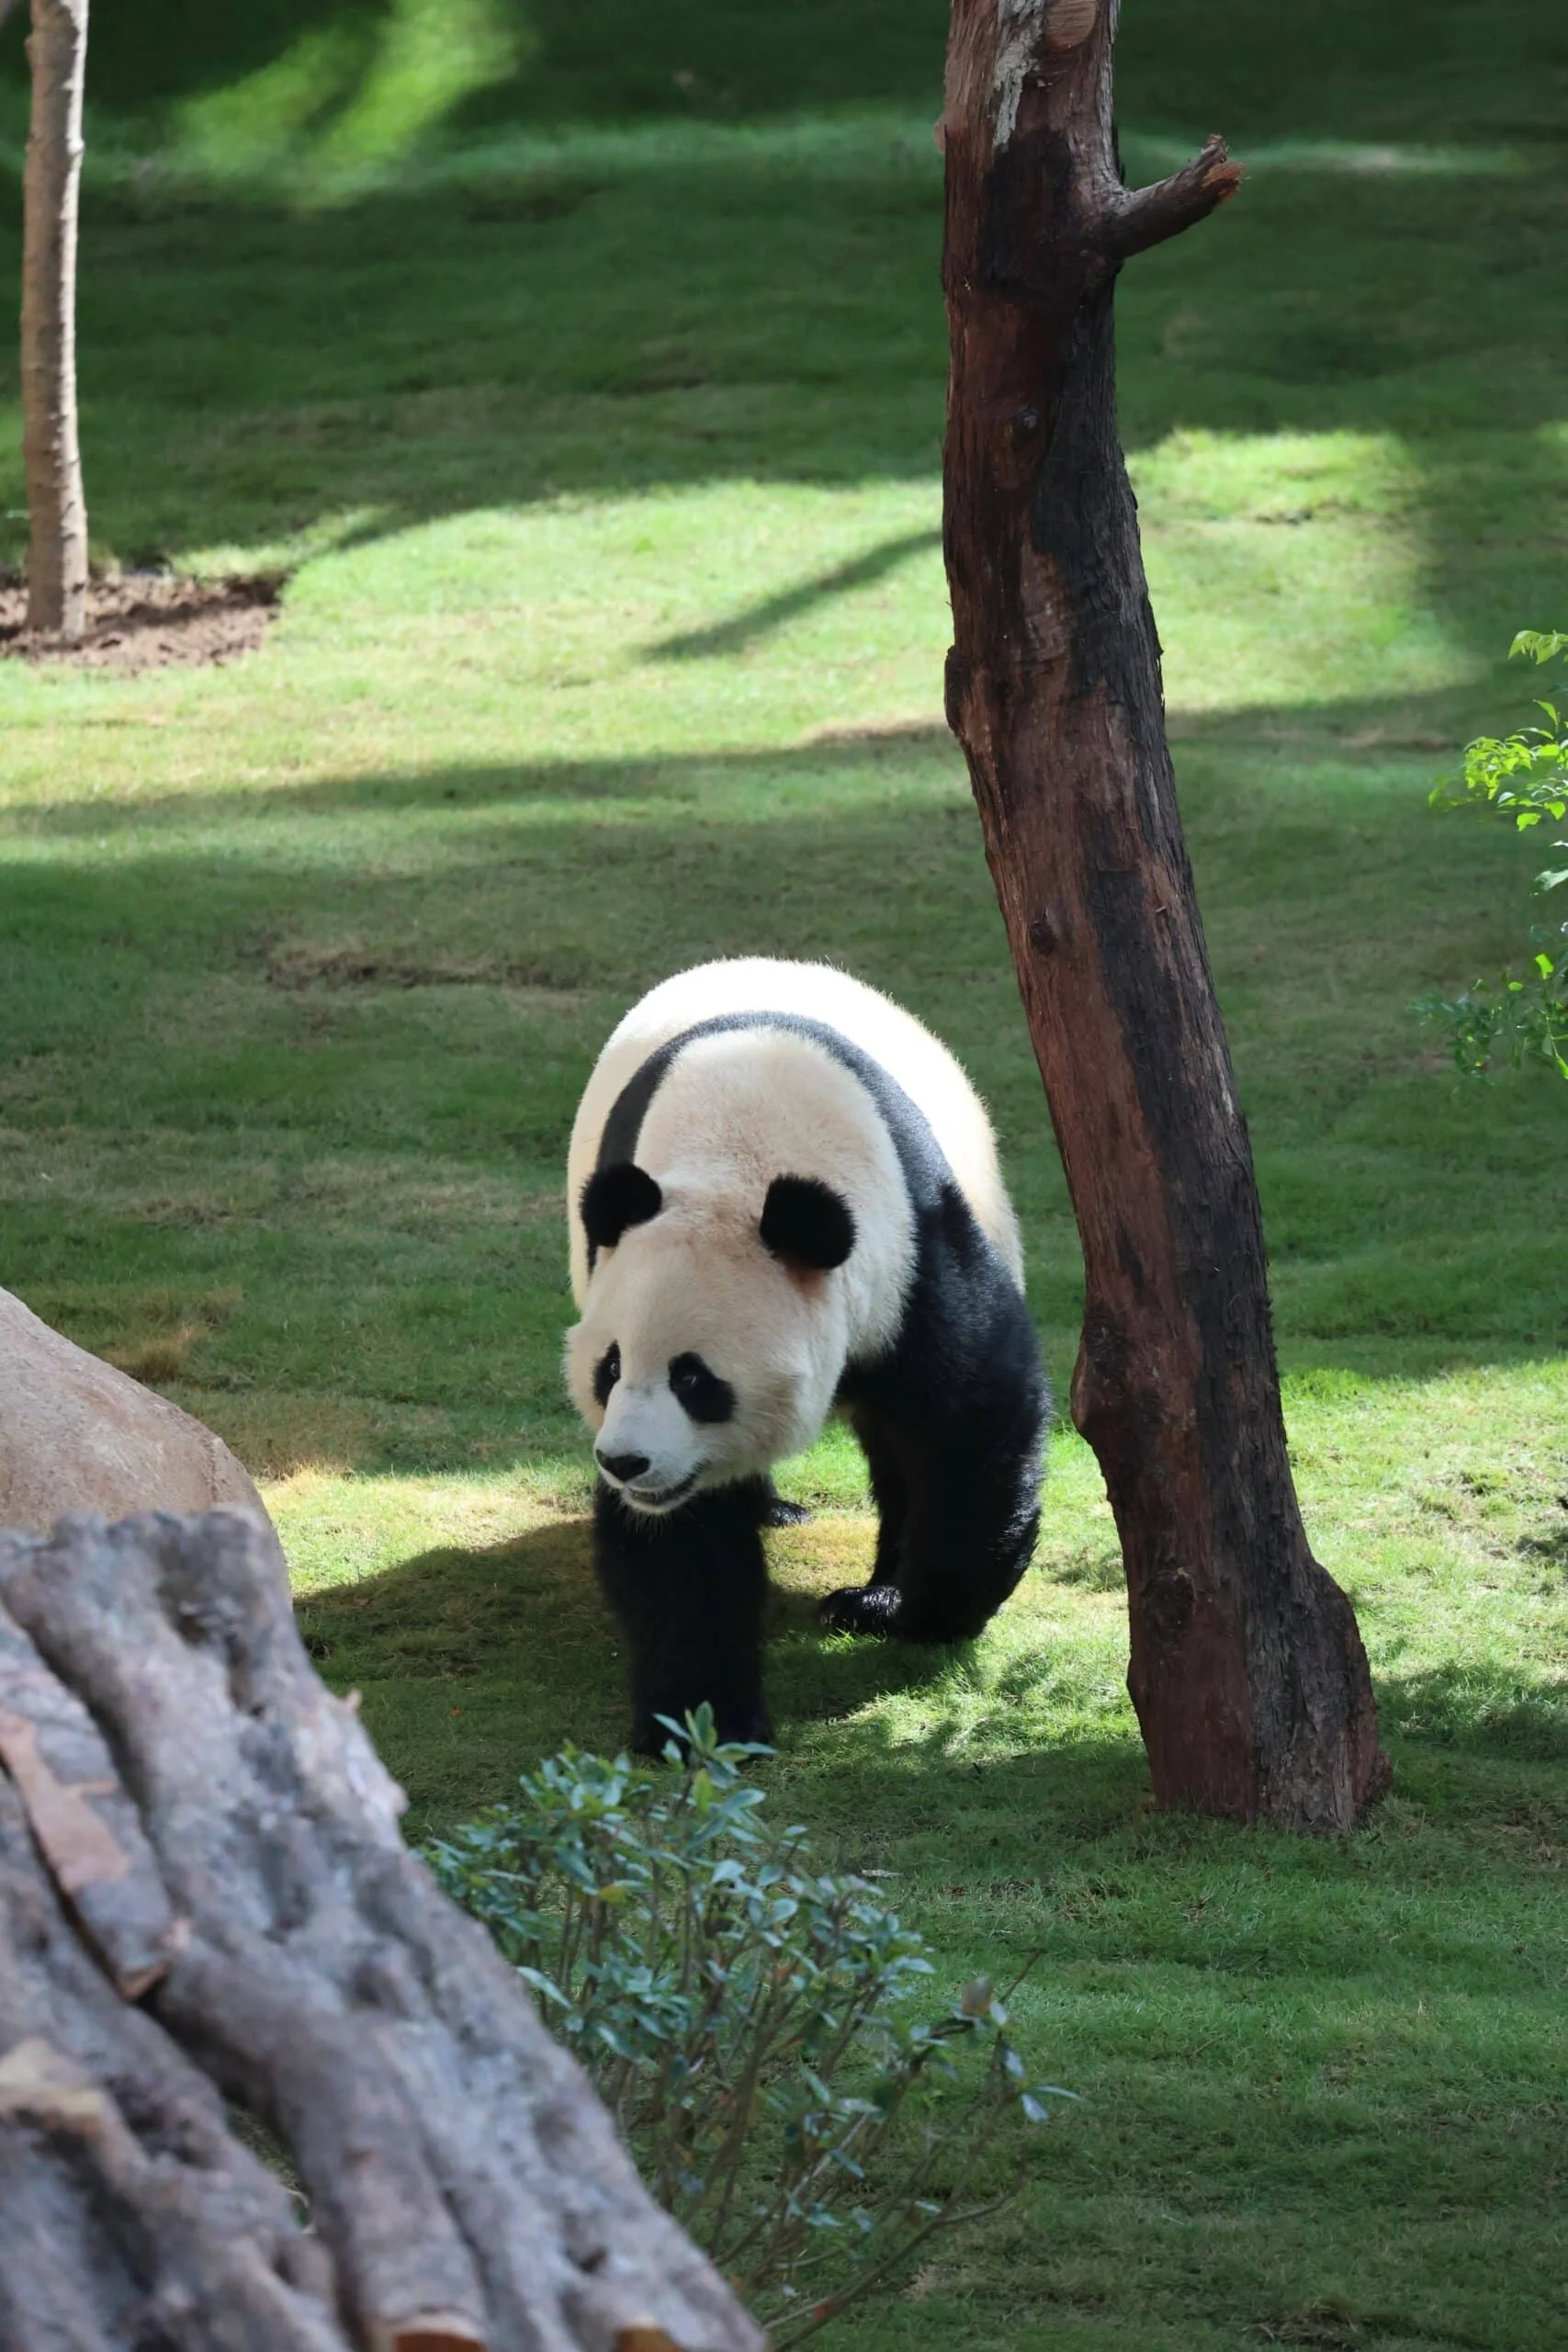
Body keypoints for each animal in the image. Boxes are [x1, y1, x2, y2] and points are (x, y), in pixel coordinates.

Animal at [565, 958, 1048, 1753]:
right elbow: (682, 1540)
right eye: (610, 1368)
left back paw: (867, 1598)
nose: (625, 1463)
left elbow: (968, 1422)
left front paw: (923, 1614)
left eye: (694, 1378)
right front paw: (699, 1720)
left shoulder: (912, 1251)